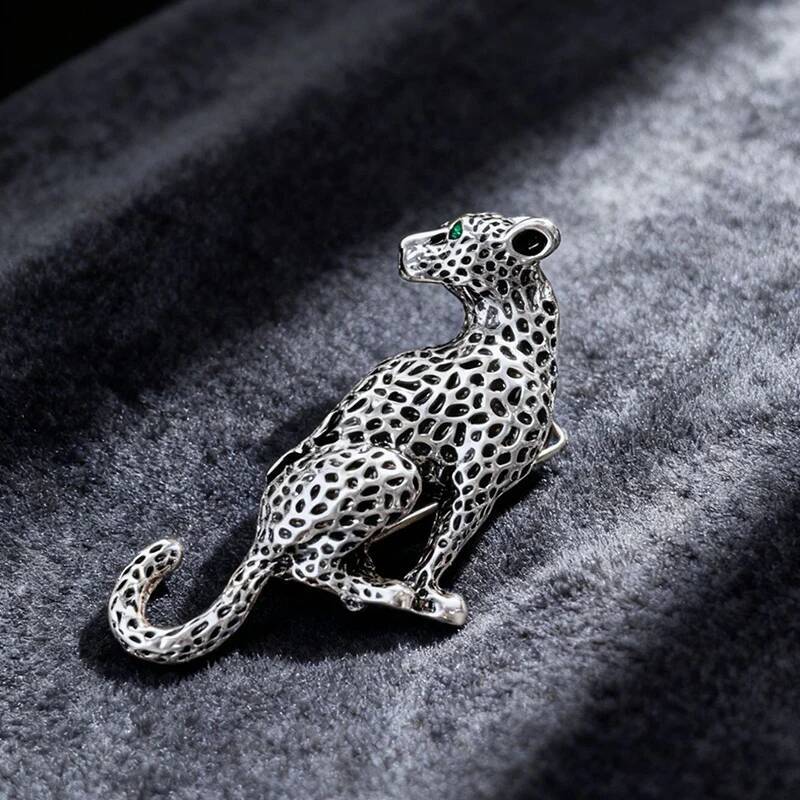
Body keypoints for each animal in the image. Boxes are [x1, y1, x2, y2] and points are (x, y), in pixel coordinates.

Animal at [108, 212, 564, 663]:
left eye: (454, 232)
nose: (404, 247)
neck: (507, 337)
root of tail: (263, 529)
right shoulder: (475, 489)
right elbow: (441, 548)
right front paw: (429, 598)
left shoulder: (472, 487)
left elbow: (440, 542)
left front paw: (422, 593)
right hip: (392, 468)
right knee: (309, 566)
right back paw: (390, 593)